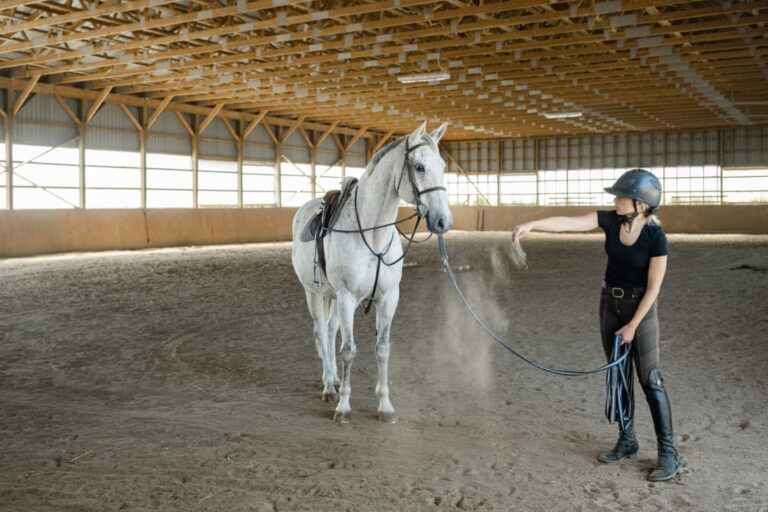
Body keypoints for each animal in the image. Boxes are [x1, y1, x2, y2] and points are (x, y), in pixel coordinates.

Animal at [291, 121, 452, 423]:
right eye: (419, 167)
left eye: (442, 165)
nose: (443, 221)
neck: (372, 235)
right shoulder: (347, 296)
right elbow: (349, 350)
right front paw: (344, 407)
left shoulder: (388, 298)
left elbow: (383, 349)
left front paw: (385, 405)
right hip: (314, 293)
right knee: (321, 332)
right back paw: (329, 385)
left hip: (333, 296)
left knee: (330, 330)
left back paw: (335, 380)